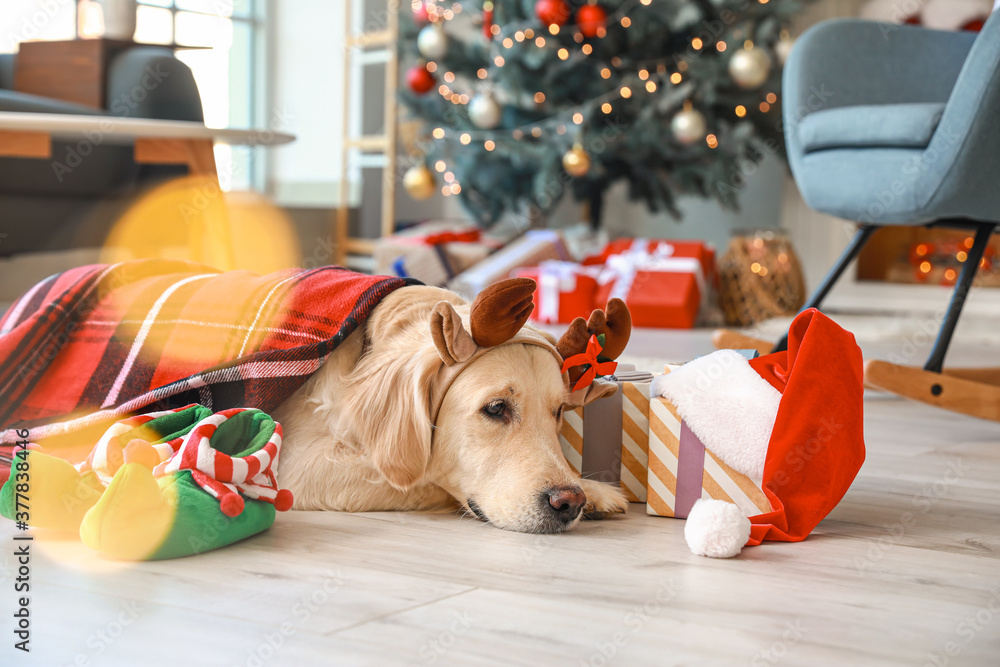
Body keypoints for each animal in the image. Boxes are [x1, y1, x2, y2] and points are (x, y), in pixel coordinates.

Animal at [274, 280, 628, 536]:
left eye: (557, 412)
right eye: (496, 408)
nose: (570, 502)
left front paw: (593, 490)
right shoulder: (299, 466)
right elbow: (423, 478)